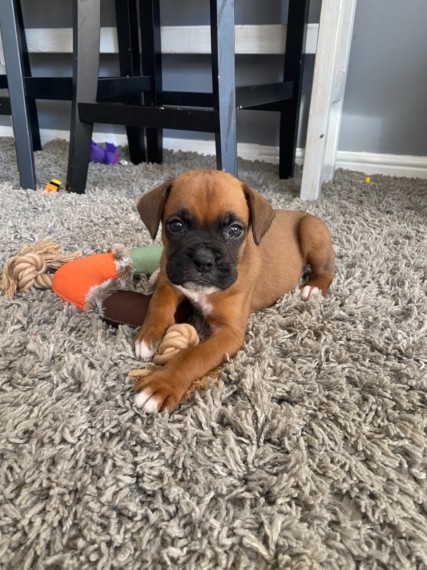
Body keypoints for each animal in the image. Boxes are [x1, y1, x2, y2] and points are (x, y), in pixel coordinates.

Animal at [134, 169, 334, 412]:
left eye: (235, 230)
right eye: (176, 225)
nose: (203, 260)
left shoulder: (229, 333)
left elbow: (193, 355)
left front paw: (161, 384)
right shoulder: (171, 282)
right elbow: (159, 302)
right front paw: (148, 335)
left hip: (311, 231)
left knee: (328, 270)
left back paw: (313, 288)